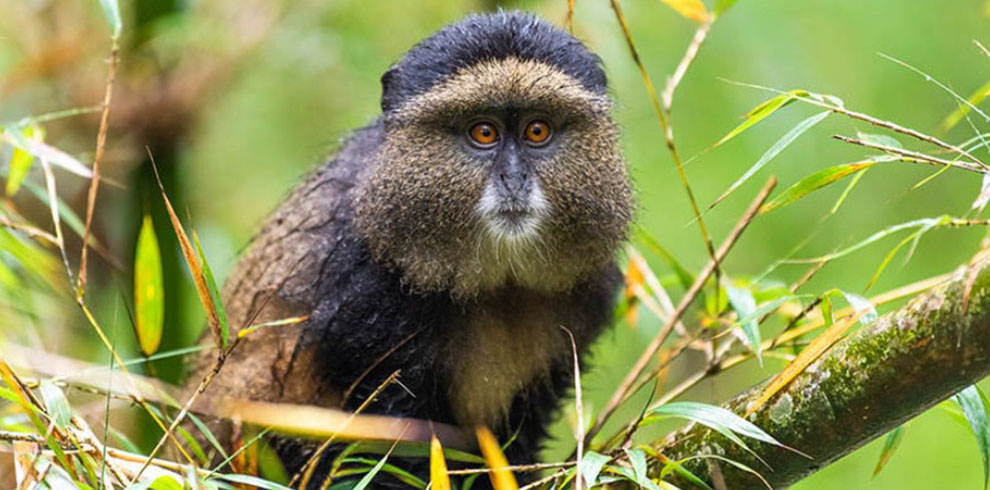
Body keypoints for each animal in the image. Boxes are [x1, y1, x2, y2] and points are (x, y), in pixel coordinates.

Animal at [187, 10, 633, 488]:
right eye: (483, 132)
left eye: (537, 130)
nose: (514, 179)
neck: (497, 281)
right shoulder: (364, 296)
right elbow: (396, 444)